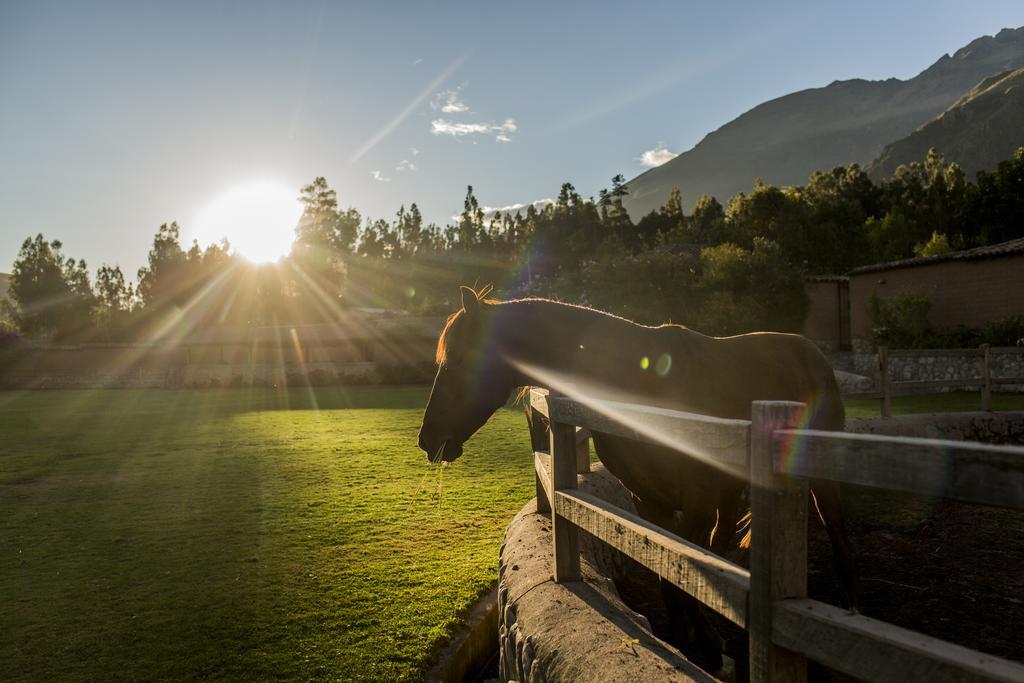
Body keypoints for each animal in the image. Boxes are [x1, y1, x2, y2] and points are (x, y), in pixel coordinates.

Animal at [415, 286, 856, 671]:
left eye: (458, 360)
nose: (427, 439)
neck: (637, 385)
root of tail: (811, 352)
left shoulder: (694, 503)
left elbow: (682, 574)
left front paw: (709, 648)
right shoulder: (650, 502)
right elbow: (670, 578)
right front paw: (693, 646)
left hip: (816, 480)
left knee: (837, 532)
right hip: (730, 489)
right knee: (723, 539)